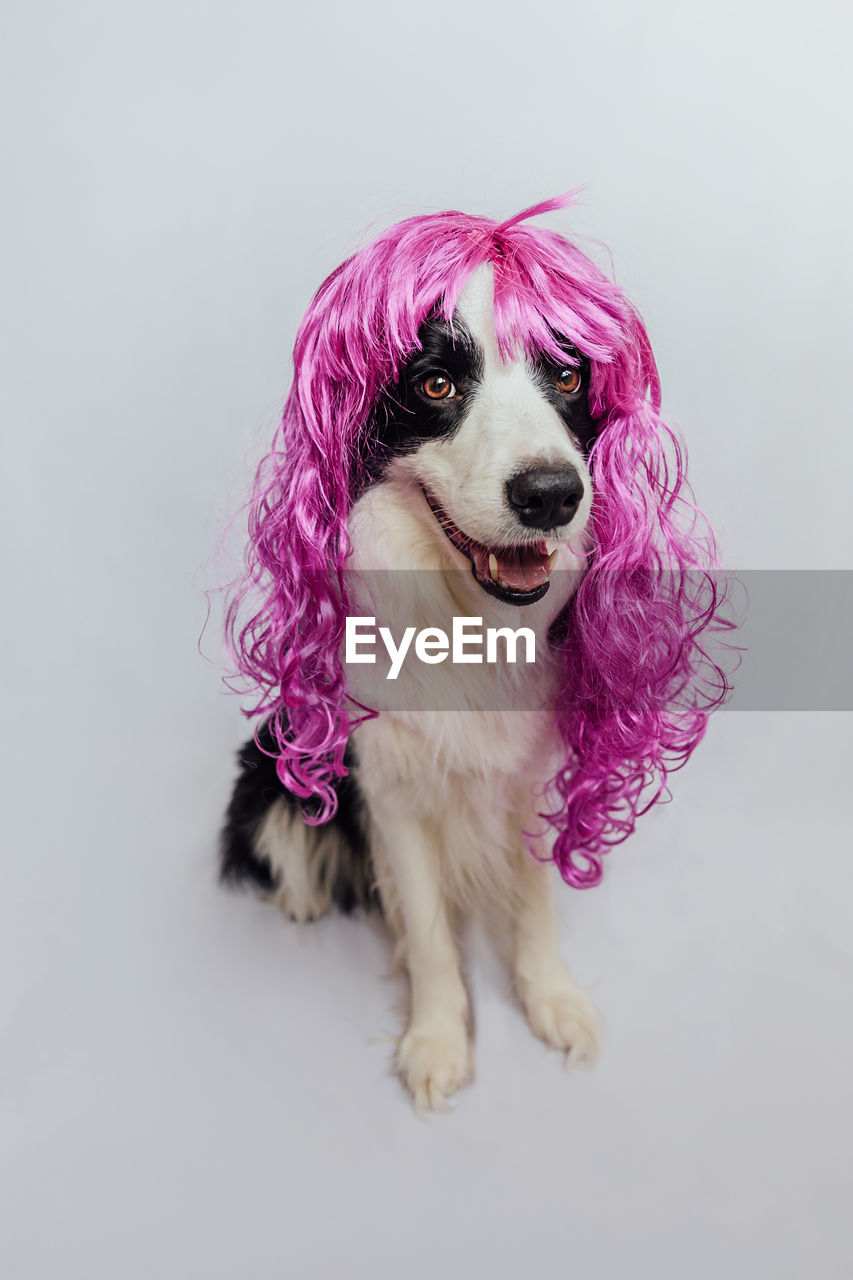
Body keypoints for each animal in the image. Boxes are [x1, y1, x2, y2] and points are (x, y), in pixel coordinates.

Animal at [216, 192, 727, 1111]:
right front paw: (437, 1041)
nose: (551, 494)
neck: (469, 622)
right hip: (267, 761)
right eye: (435, 384)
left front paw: (551, 998)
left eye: (567, 376)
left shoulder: (531, 775)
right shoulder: (387, 788)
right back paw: (305, 897)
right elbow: (423, 930)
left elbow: (535, 901)